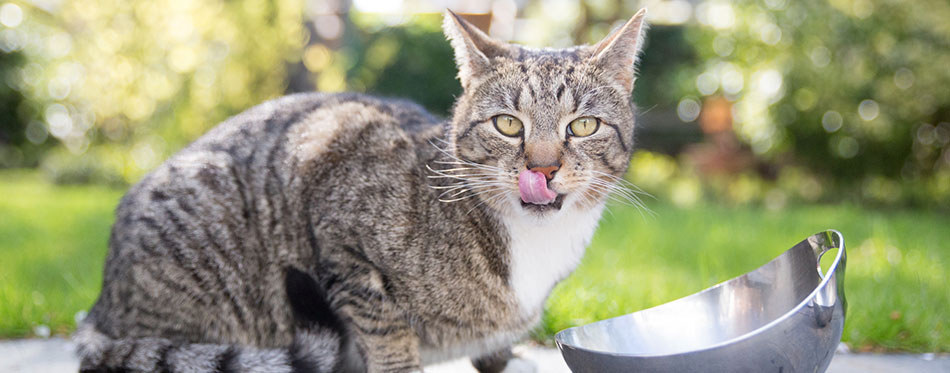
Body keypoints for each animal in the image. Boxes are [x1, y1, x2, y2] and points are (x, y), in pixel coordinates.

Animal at [76, 8, 648, 372]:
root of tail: (99, 308)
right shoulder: (335, 196)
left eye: (583, 126)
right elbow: (387, 334)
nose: (543, 167)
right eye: (508, 125)